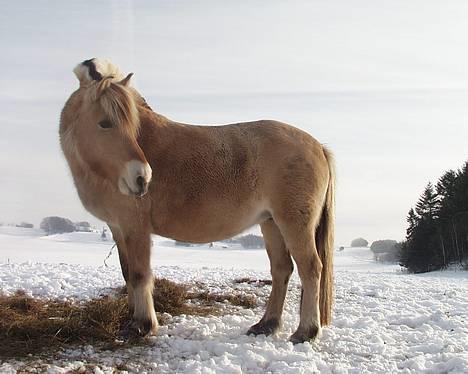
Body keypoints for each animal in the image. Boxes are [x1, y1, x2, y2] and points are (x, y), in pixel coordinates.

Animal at [60, 57, 334, 342]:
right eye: (105, 123)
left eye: (133, 128)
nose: (142, 177)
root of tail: (318, 147)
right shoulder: (118, 227)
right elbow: (127, 273)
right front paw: (131, 319)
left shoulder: (136, 227)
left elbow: (139, 274)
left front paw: (143, 325)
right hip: (271, 223)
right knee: (282, 269)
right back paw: (266, 324)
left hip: (293, 224)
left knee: (310, 268)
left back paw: (305, 331)